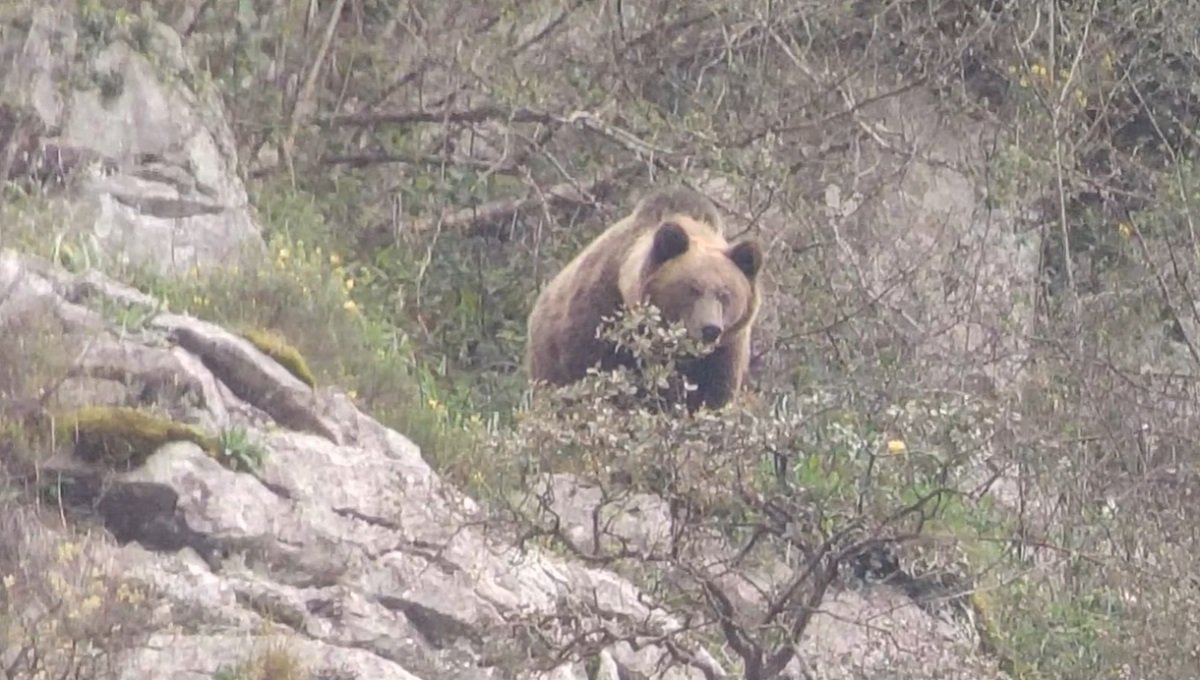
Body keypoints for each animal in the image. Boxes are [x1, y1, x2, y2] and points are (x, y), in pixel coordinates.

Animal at [525, 186, 764, 412]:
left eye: (725, 294)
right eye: (692, 289)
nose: (710, 329)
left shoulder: (723, 352)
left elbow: (711, 396)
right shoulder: (599, 318)